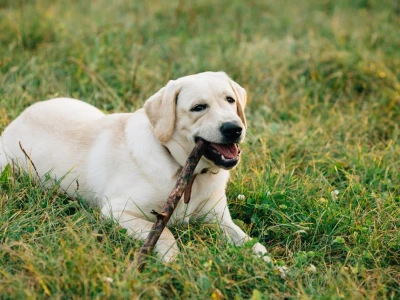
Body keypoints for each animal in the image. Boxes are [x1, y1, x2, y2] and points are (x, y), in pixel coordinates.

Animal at [0, 72, 270, 262]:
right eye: (198, 107)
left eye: (230, 100)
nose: (234, 128)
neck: (185, 172)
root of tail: (21, 115)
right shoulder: (118, 210)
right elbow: (166, 234)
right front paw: (172, 263)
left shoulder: (220, 220)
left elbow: (255, 245)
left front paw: (275, 269)